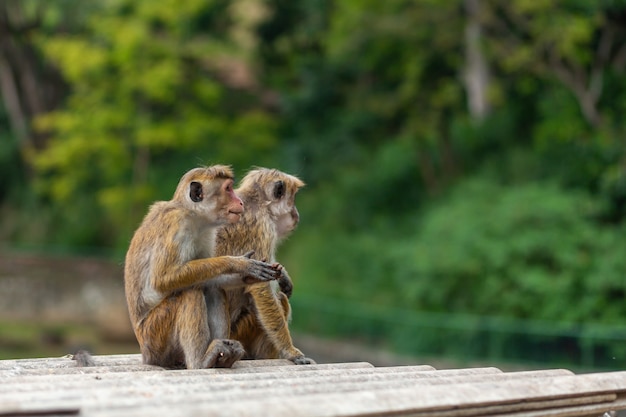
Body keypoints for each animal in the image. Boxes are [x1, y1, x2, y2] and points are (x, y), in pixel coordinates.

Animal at [122, 165, 282, 368]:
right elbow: (162, 279)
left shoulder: (208, 233)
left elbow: (212, 279)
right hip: (154, 338)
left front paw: (247, 276)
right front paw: (238, 263)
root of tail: (145, 355)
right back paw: (200, 362)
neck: (193, 215)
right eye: (228, 189)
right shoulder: (177, 224)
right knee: (190, 293)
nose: (240, 202)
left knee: (212, 288)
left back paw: (223, 357)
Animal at [214, 167, 314, 362]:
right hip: (239, 332)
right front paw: (290, 351)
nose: (296, 214)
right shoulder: (262, 227)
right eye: (292, 200)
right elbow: (260, 288)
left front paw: (283, 274)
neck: (258, 203)